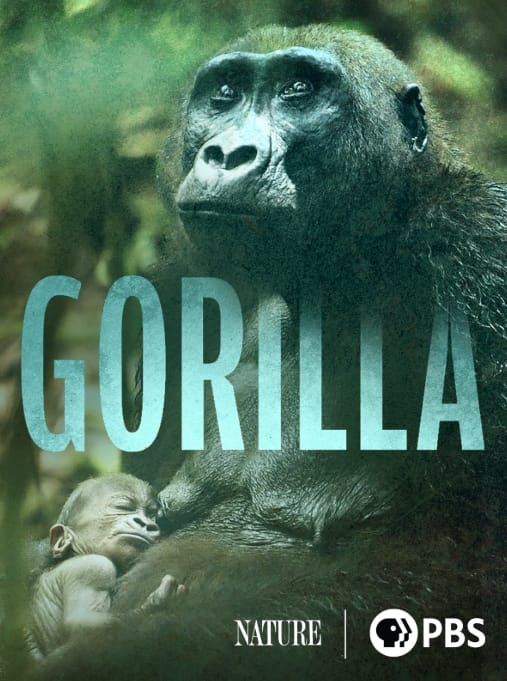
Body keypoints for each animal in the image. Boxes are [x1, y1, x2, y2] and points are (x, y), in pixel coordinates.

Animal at [28, 474, 184, 659]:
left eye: (152, 515)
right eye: (123, 507)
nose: (146, 524)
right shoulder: (94, 568)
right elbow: (86, 627)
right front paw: (156, 604)